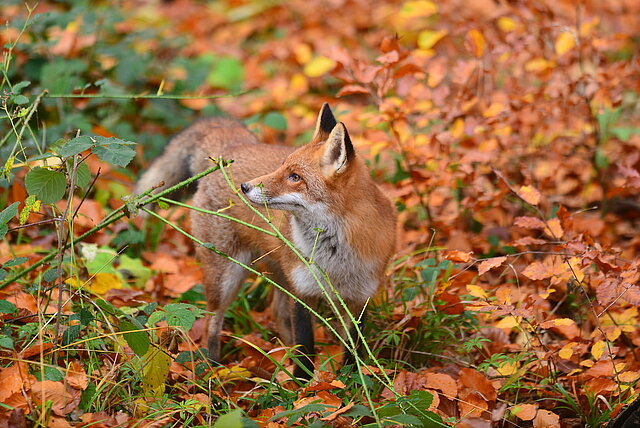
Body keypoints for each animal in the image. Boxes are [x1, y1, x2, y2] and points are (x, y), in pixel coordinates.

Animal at [134, 103, 396, 378]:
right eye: (282, 167)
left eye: (295, 177)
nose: (244, 187)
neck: (336, 260)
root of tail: (233, 147)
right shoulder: (303, 293)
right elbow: (306, 347)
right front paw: (304, 386)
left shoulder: (359, 300)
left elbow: (351, 354)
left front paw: (349, 383)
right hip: (227, 275)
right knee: (210, 323)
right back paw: (214, 372)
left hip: (278, 274)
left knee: (277, 312)